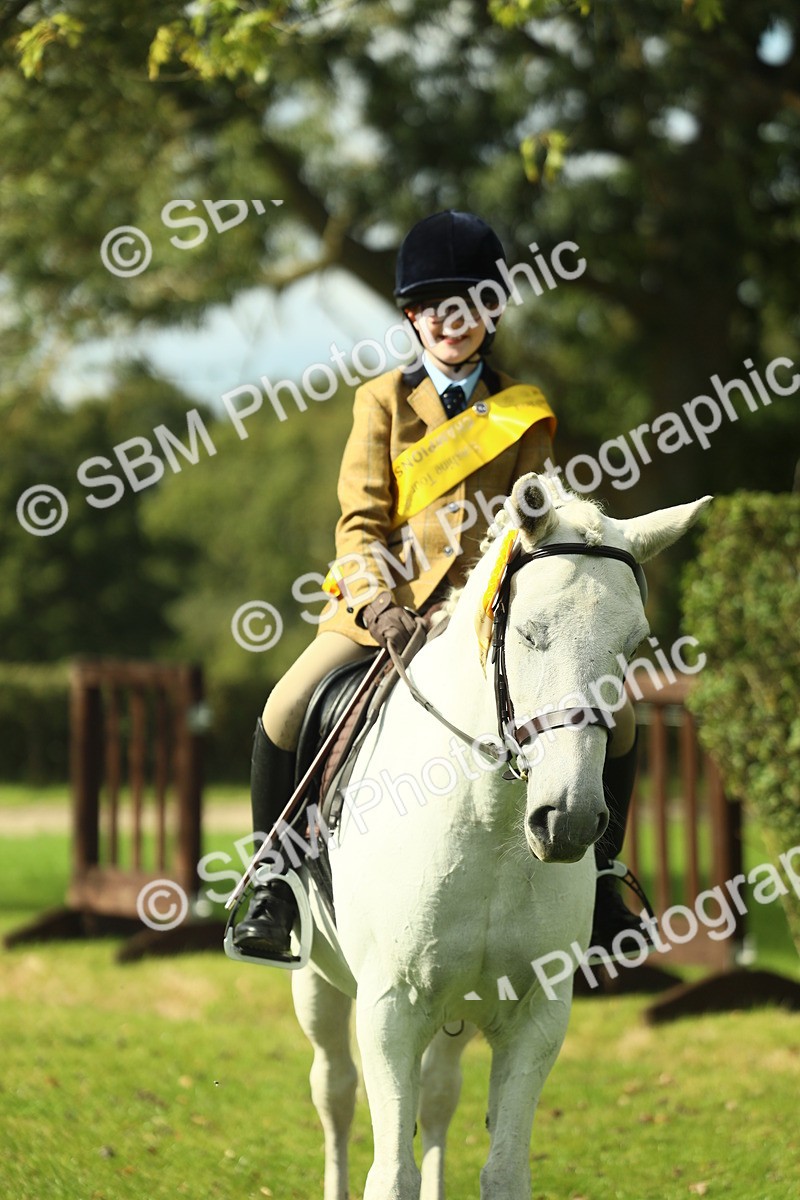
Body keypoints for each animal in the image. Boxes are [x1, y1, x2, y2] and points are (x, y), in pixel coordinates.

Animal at [272, 473, 710, 1200]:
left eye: (634, 646)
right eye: (530, 633)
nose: (568, 819)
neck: (490, 827)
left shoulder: (537, 1015)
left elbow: (502, 1169)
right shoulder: (389, 1009)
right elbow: (389, 1172)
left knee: (438, 1096)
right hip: (318, 980)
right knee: (333, 1092)